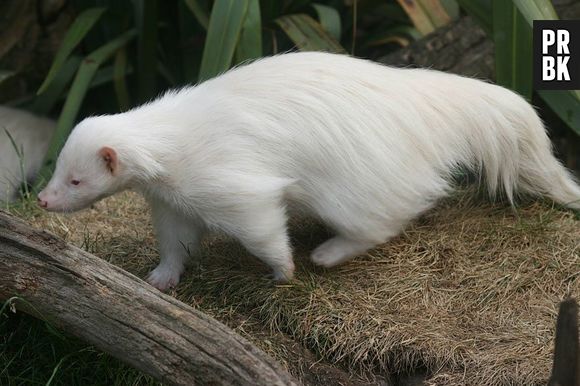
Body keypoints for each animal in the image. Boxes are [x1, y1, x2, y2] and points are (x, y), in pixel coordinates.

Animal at [37, 52, 580, 292]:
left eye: (76, 180)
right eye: (60, 171)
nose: (43, 199)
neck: (167, 136)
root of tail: (415, 102)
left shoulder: (221, 175)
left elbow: (259, 220)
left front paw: (284, 269)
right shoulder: (173, 194)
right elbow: (177, 237)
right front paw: (161, 277)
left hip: (355, 175)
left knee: (381, 216)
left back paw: (328, 252)